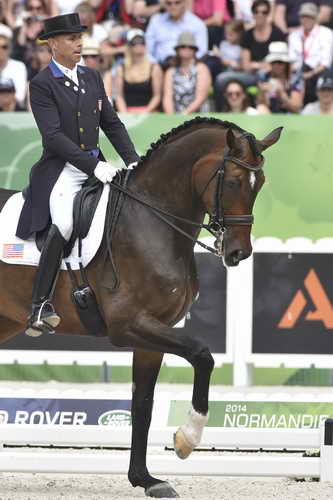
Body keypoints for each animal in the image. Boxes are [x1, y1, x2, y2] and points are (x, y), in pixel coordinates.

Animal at [0, 117, 280, 496]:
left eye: (259, 183)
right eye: (234, 181)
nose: (239, 253)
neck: (150, 219)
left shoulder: (152, 335)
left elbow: (143, 405)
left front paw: (145, 479)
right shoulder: (129, 325)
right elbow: (202, 355)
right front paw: (187, 439)